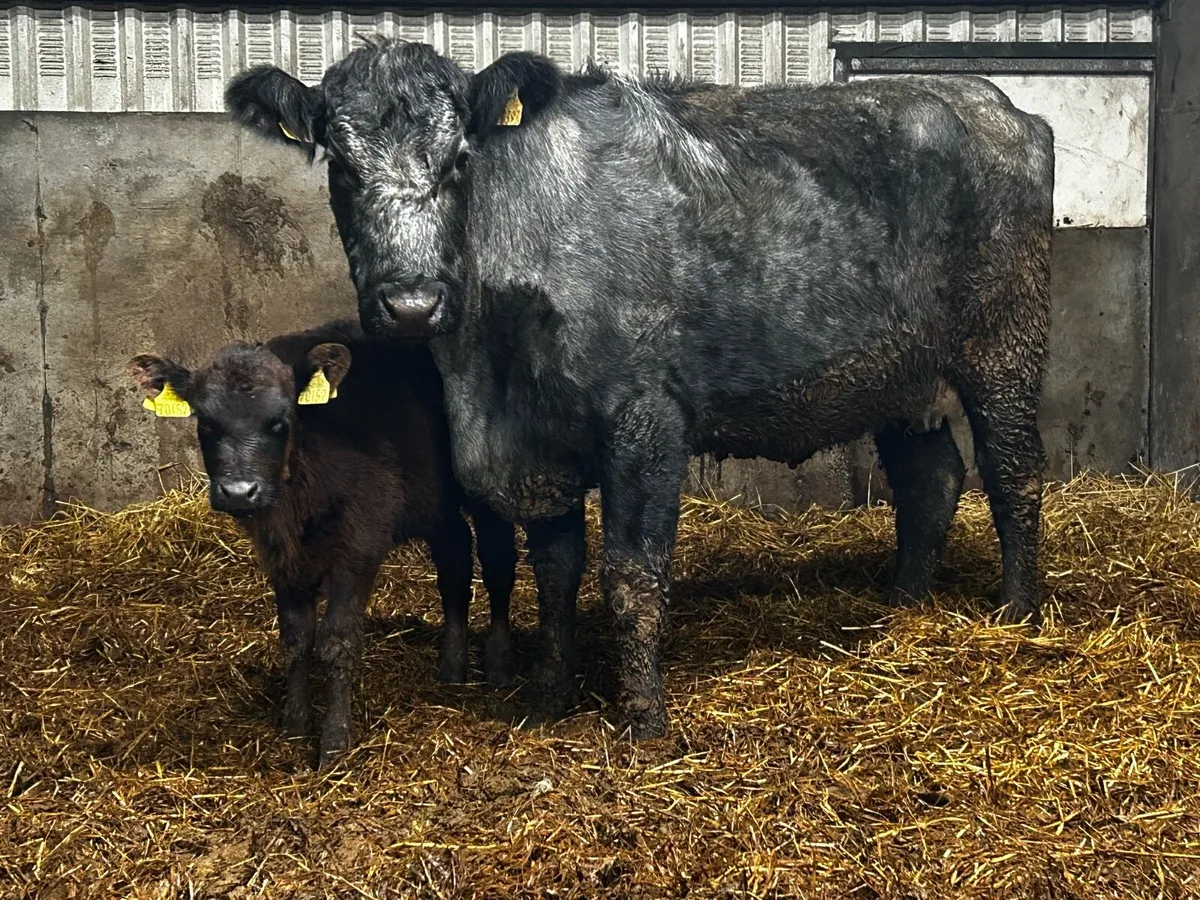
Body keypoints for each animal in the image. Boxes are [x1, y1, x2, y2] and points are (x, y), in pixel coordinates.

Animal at [128, 319, 518, 765]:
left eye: (281, 421)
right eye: (205, 422)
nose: (240, 492)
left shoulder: (359, 547)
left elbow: (337, 640)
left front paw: (334, 741)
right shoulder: (282, 558)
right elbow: (296, 639)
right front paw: (294, 725)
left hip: (487, 488)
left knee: (497, 564)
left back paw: (499, 664)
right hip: (435, 504)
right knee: (454, 563)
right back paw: (452, 668)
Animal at [226, 39, 1055, 740]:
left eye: (460, 158)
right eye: (340, 165)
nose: (410, 304)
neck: (486, 370)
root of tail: (991, 101)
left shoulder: (645, 417)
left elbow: (631, 570)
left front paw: (644, 718)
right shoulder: (536, 444)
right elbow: (556, 571)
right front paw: (549, 694)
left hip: (1004, 339)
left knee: (1013, 470)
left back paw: (1017, 610)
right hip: (899, 372)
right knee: (931, 478)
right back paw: (901, 603)